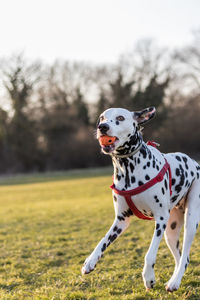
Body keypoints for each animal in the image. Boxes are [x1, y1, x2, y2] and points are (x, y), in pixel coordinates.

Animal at [81, 106, 200, 292]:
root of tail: (195, 163)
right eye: (101, 118)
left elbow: (149, 255)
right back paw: (174, 280)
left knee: (186, 254)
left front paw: (148, 278)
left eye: (120, 118)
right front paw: (90, 261)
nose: (102, 127)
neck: (128, 168)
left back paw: (175, 282)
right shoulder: (121, 221)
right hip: (171, 230)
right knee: (181, 257)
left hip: (190, 220)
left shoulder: (160, 218)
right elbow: (103, 241)